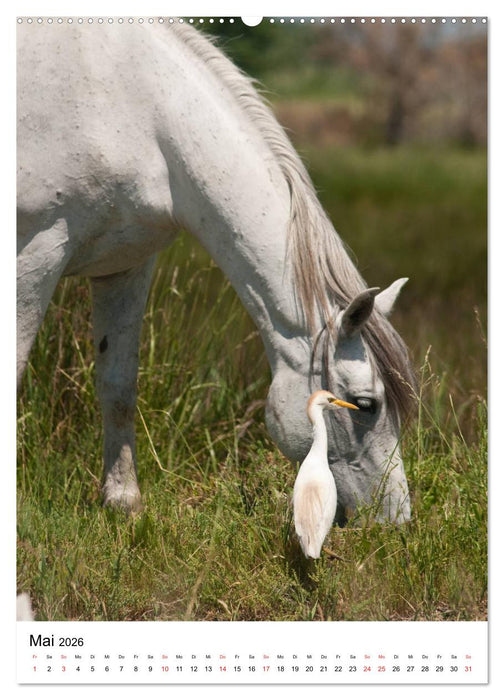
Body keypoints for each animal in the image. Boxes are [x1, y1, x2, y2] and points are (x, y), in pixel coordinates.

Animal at [17, 20, 416, 527]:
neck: (134, 106)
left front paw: (124, 504)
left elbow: (118, 385)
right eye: (367, 404)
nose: (397, 522)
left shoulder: (125, 265)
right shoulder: (35, 254)